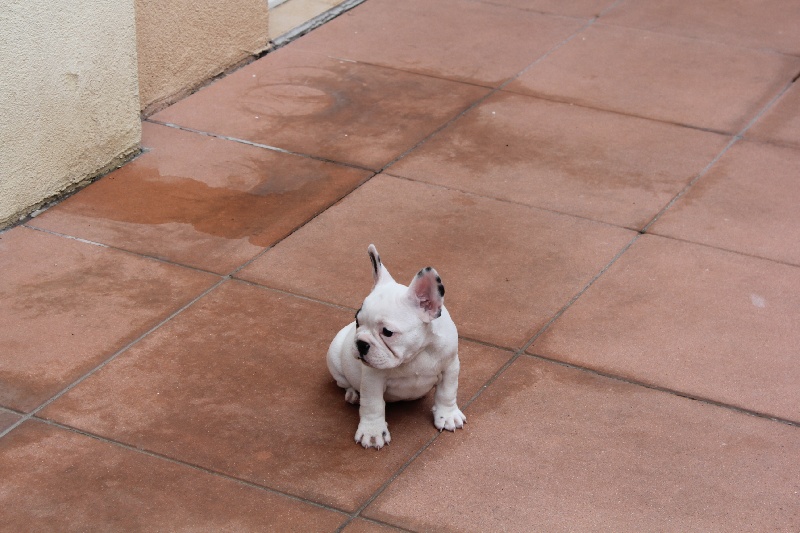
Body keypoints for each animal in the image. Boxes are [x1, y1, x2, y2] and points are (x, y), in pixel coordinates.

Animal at [326, 244, 466, 449]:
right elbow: (372, 405)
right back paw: (353, 394)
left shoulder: (450, 366)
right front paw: (373, 432)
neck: (416, 354)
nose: (361, 343)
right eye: (357, 321)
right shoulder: (372, 378)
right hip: (335, 358)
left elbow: (447, 392)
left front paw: (447, 416)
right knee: (344, 383)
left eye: (387, 332)